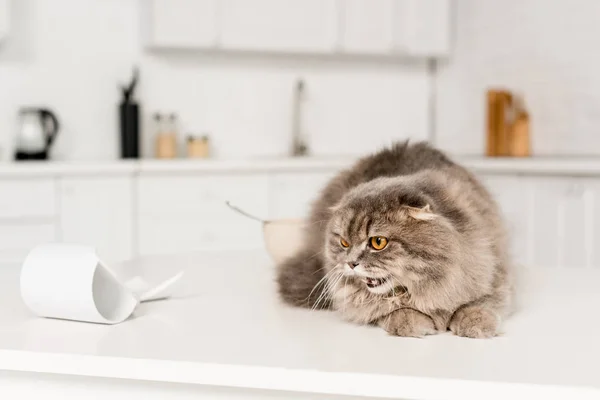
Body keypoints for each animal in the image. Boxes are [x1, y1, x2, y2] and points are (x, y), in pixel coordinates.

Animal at [278, 141, 512, 338]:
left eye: (378, 242)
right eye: (344, 243)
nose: (351, 263)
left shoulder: (491, 266)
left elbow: (481, 302)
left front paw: (476, 323)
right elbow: (389, 310)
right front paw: (415, 323)